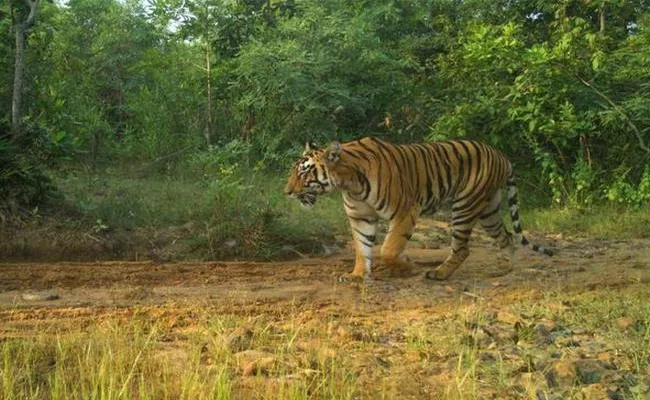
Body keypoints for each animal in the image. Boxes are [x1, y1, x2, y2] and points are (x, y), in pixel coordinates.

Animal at [280, 139, 548, 282]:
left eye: (304, 172)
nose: (287, 192)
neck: (350, 184)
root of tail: (501, 154)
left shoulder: (406, 210)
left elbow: (389, 249)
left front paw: (407, 267)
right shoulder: (360, 217)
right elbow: (361, 248)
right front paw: (357, 274)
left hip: (465, 205)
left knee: (463, 248)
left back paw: (439, 273)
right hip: (488, 210)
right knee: (506, 237)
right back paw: (505, 269)